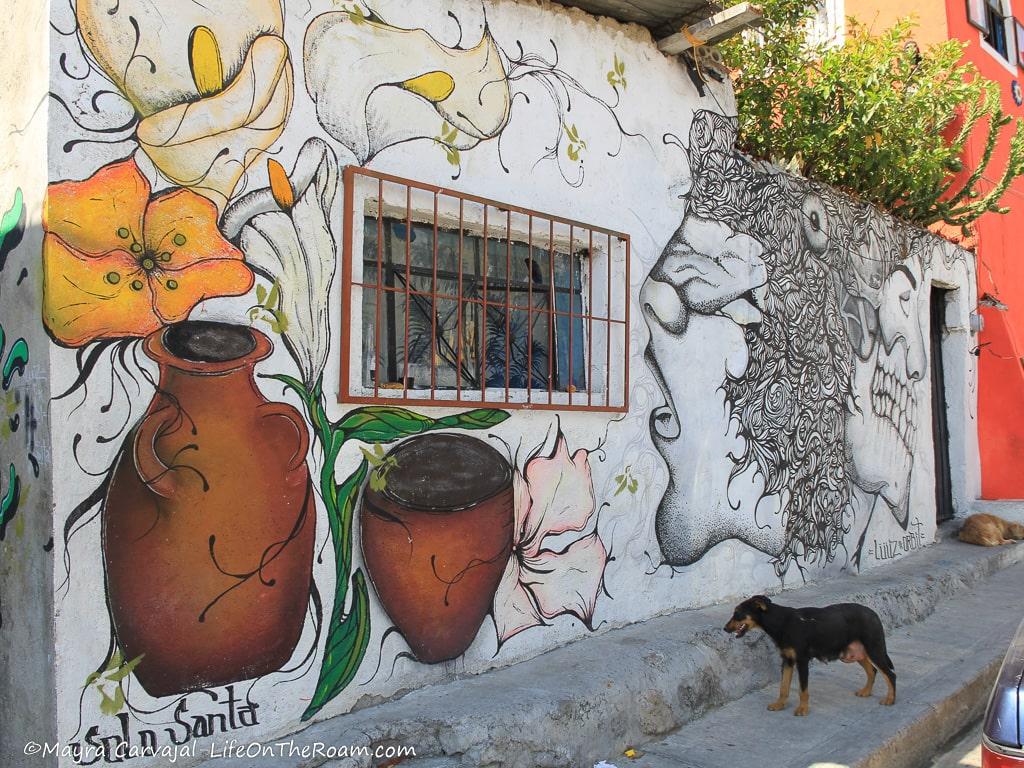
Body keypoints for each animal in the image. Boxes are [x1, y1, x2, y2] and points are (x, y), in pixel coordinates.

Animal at [720, 598, 897, 720]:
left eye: (737, 613)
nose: (725, 628)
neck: (782, 622)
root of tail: (874, 613)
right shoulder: (788, 661)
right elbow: (783, 687)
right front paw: (780, 704)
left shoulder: (802, 661)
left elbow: (802, 690)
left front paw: (803, 709)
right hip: (856, 652)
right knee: (872, 670)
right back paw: (866, 691)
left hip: (874, 649)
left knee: (890, 675)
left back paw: (890, 699)